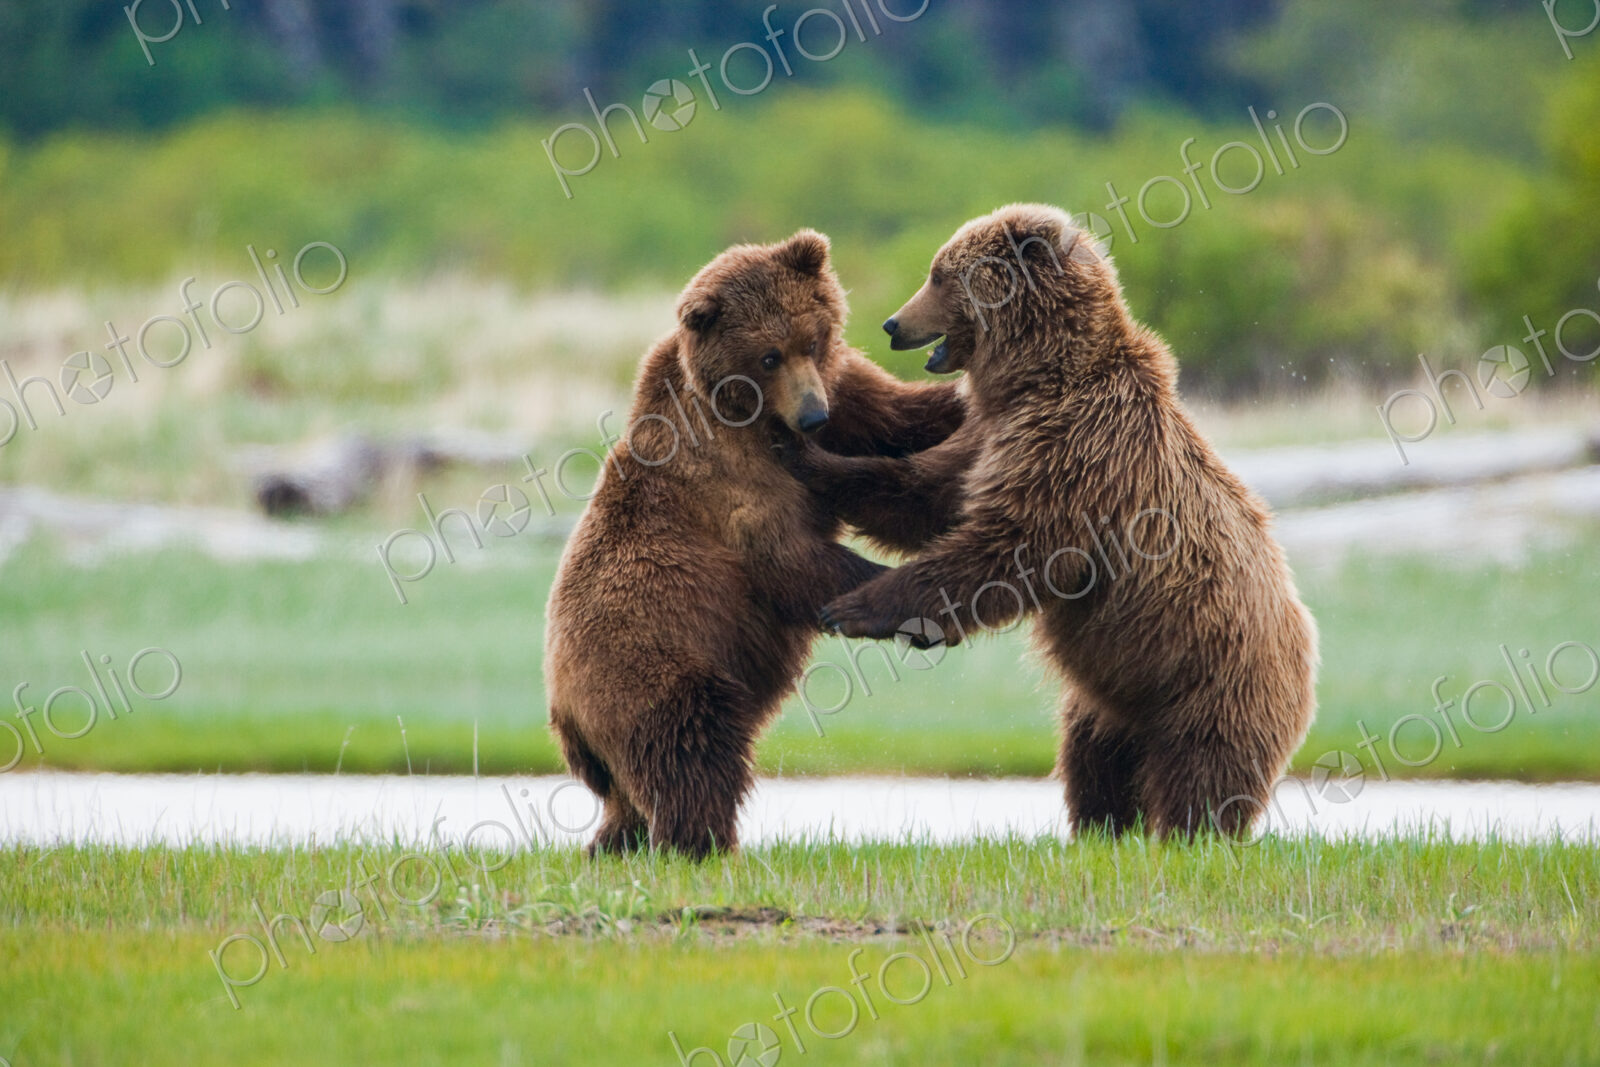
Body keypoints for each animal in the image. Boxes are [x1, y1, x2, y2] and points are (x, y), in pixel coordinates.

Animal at [544, 229, 966, 858]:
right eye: (768, 356)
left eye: (812, 339)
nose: (813, 417)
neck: (752, 414)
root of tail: (563, 708)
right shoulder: (727, 477)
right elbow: (792, 560)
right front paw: (890, 605)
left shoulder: (842, 390)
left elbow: (893, 416)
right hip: (652, 669)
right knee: (691, 746)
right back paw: (702, 842)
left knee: (629, 798)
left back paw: (618, 842)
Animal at [795, 203, 1318, 839]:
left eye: (939, 275)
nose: (895, 323)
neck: (1042, 381)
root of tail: (1308, 653)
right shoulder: (993, 440)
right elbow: (925, 496)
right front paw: (814, 462)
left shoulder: (1077, 456)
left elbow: (1009, 550)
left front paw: (854, 608)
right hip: (1106, 700)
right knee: (1094, 759)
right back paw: (1103, 826)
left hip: (1211, 686)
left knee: (1200, 779)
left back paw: (1184, 833)